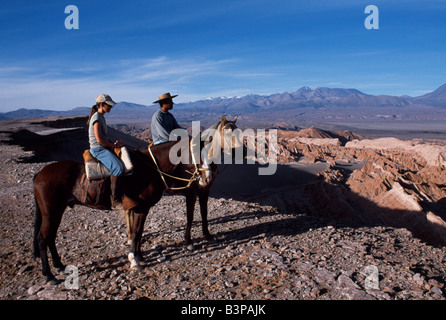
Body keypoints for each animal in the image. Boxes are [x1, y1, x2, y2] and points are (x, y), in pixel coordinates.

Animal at [32, 115, 239, 282]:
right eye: (196, 153)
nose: (207, 177)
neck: (152, 168)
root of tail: (39, 174)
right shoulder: (172, 198)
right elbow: (144, 230)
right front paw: (136, 260)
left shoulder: (144, 207)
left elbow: (138, 233)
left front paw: (138, 256)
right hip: (50, 211)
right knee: (43, 238)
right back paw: (49, 275)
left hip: (58, 210)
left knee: (51, 237)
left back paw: (59, 265)